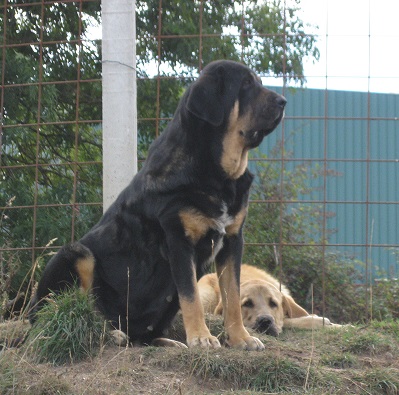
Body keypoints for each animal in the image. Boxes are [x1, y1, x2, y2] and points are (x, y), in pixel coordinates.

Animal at [29, 60, 286, 352]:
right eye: (245, 84)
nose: (283, 101)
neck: (217, 174)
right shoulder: (178, 240)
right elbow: (191, 296)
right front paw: (201, 337)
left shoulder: (232, 241)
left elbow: (232, 295)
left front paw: (240, 338)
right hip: (75, 254)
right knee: (66, 312)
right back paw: (111, 334)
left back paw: (165, 342)